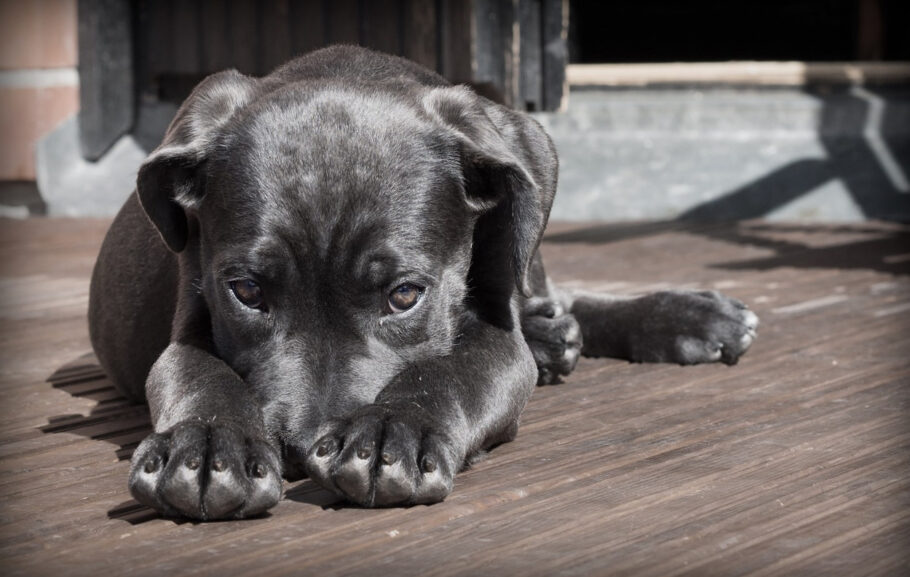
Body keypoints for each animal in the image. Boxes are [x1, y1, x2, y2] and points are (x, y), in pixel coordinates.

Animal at [89, 45, 760, 520]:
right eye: (247, 292)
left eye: (405, 295)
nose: (302, 450)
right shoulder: (190, 319)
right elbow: (198, 374)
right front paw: (206, 446)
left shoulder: (497, 335)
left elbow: (450, 369)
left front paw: (395, 430)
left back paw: (683, 317)